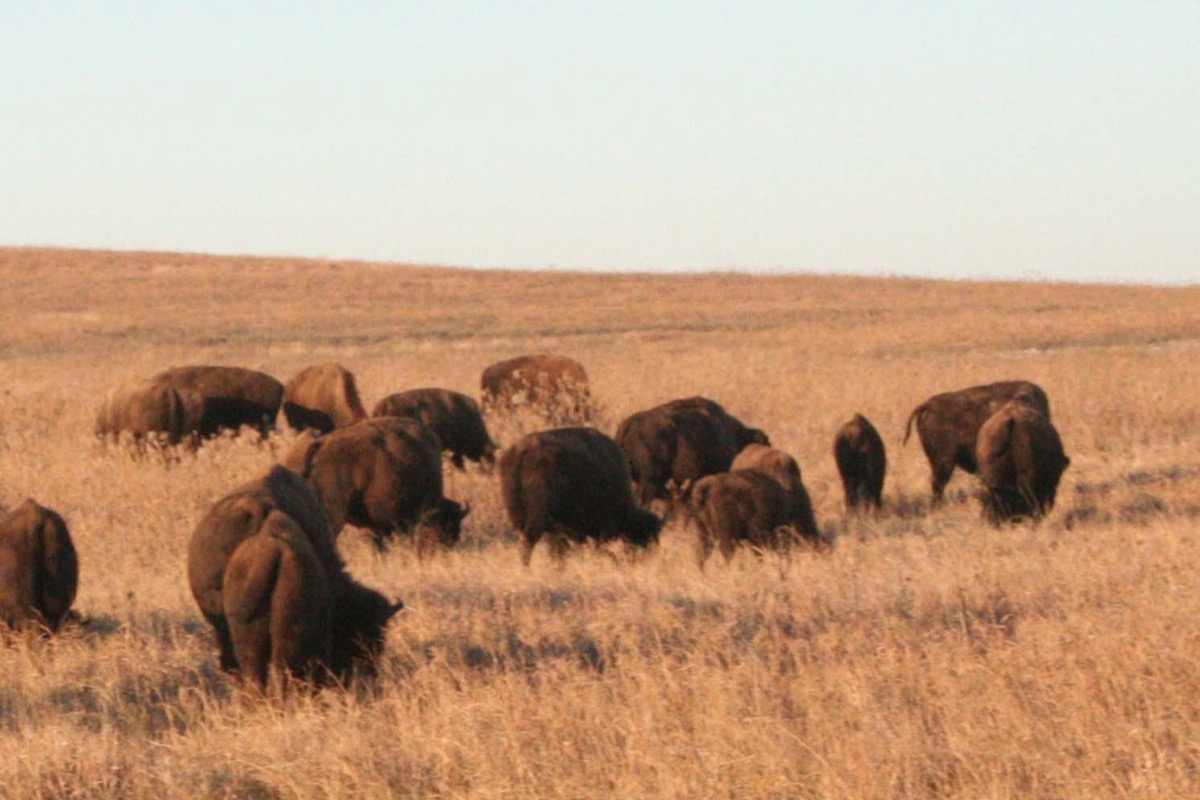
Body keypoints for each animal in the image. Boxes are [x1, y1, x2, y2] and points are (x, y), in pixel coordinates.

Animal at [499, 427, 661, 565]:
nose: (648, 558)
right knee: (528, 544)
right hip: (537, 520)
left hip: (519, 518)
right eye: (646, 537)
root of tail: (523, 449)